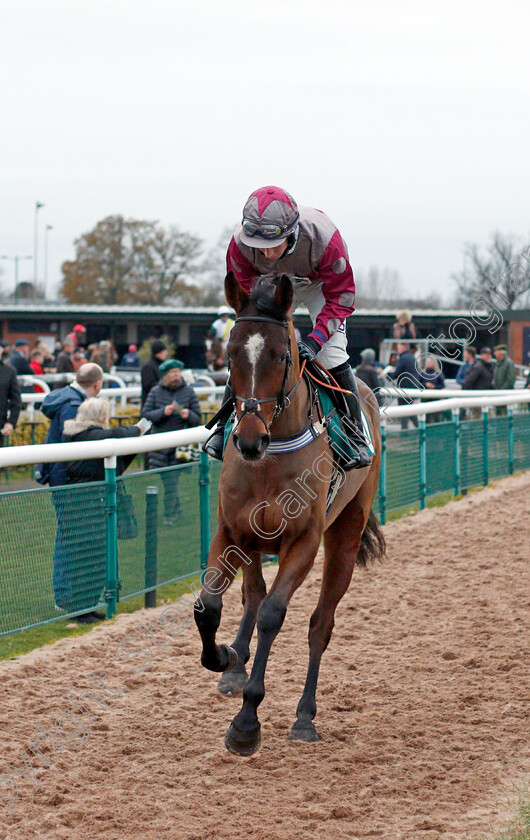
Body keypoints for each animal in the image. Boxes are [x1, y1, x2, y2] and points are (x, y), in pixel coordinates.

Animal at [194, 272, 384, 756]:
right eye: (230, 354)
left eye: (283, 356)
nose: (248, 440)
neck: (273, 453)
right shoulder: (231, 530)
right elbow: (210, 606)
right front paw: (225, 656)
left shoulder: (304, 541)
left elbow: (273, 615)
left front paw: (246, 723)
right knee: (251, 593)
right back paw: (235, 663)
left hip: (345, 535)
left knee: (321, 624)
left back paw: (304, 716)